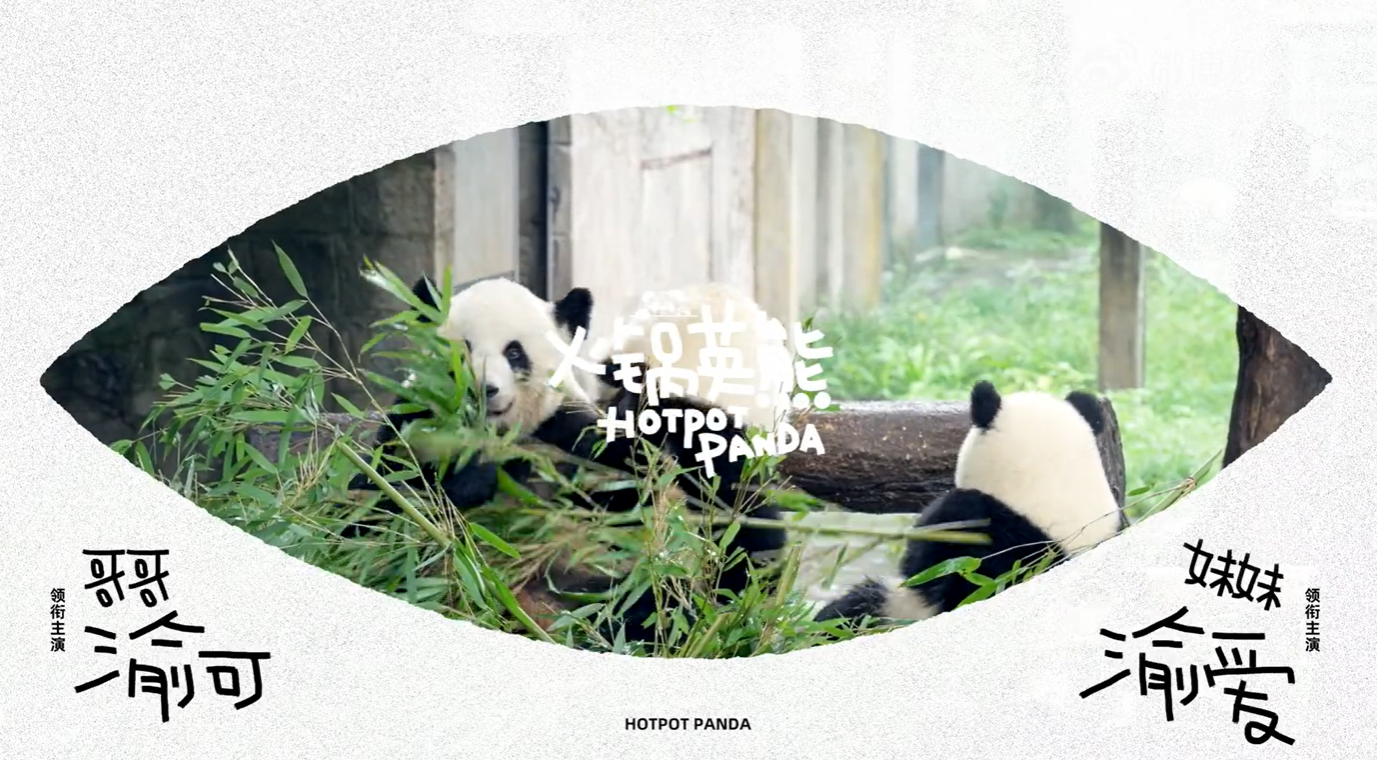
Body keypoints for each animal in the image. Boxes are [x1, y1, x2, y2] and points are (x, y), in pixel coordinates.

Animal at [344, 274, 788, 646]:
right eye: (464, 347)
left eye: (514, 352)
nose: (484, 390)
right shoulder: (411, 426)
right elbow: (375, 504)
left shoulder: (574, 435)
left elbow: (637, 494)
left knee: (646, 605)